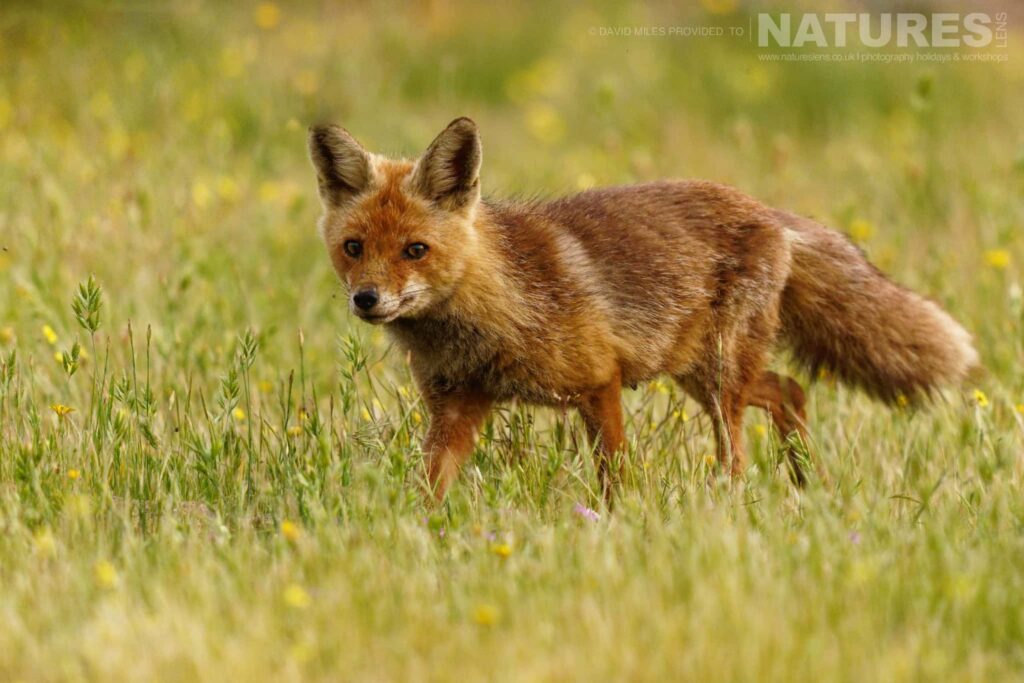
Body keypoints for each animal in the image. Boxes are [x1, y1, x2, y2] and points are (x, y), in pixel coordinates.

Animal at [307, 117, 979, 502]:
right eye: (354, 248)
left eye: (415, 250)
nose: (367, 300)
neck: (493, 310)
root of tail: (767, 210)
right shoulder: (457, 408)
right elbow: (429, 489)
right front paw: (420, 539)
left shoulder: (598, 384)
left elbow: (614, 479)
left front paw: (614, 529)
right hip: (700, 374)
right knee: (790, 390)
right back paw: (805, 486)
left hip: (718, 377)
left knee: (740, 446)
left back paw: (734, 504)